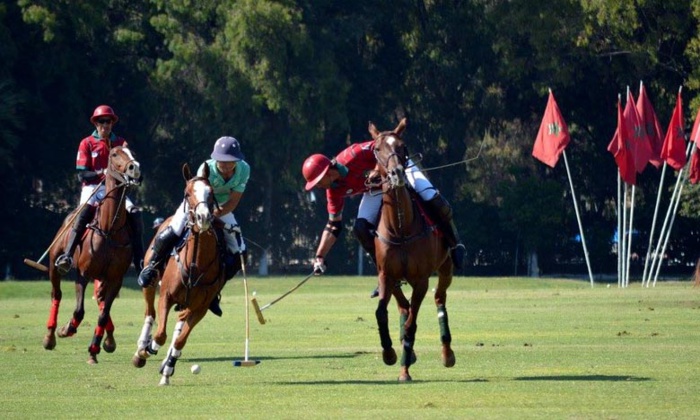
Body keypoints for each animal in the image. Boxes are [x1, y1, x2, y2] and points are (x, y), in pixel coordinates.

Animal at [43, 145, 141, 364]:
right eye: (114, 154)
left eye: (132, 152)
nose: (135, 168)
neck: (109, 229)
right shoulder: (83, 274)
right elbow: (79, 311)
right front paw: (66, 329)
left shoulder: (115, 279)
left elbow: (103, 314)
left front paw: (94, 349)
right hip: (54, 263)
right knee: (57, 294)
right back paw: (50, 336)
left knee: (101, 300)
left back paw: (109, 341)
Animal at [132, 163, 226, 386]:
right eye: (187, 193)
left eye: (211, 193)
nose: (203, 218)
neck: (195, 263)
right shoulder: (166, 296)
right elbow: (160, 335)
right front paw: (145, 352)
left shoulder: (200, 308)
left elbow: (180, 339)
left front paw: (167, 368)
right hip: (150, 282)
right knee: (150, 313)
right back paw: (141, 347)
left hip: (187, 304)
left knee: (178, 325)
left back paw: (166, 366)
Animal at [369, 118, 456, 381]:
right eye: (377, 149)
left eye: (401, 146)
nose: (397, 173)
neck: (401, 228)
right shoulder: (386, 274)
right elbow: (381, 313)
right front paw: (389, 354)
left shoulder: (421, 280)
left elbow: (412, 325)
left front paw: (404, 371)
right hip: (394, 278)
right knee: (402, 305)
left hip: (446, 268)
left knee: (439, 298)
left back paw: (447, 353)